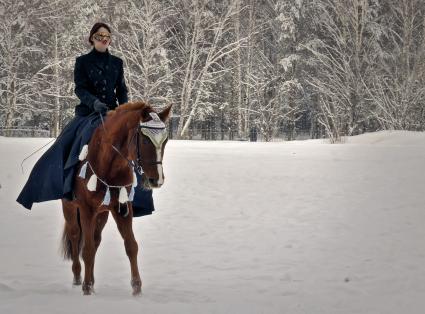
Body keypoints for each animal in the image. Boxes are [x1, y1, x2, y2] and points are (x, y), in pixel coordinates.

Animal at [60, 102, 172, 296]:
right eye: (145, 140)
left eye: (165, 141)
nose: (156, 180)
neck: (110, 163)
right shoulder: (87, 209)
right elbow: (87, 249)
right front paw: (86, 288)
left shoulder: (122, 208)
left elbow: (131, 245)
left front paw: (137, 287)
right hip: (70, 207)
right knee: (75, 235)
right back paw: (78, 277)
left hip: (102, 213)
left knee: (96, 240)